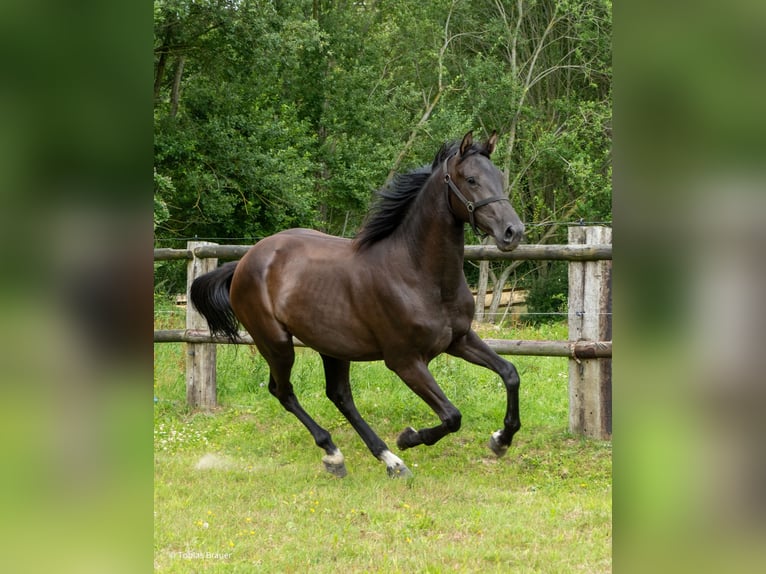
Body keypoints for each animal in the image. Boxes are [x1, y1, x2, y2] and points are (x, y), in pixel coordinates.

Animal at [190, 131, 525, 478]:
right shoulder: (405, 361)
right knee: (283, 392)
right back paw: (338, 454)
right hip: (276, 343)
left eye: (499, 177)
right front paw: (408, 437)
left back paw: (387, 459)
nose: (513, 232)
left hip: (332, 346)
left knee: (339, 396)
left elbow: (510, 373)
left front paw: (501, 440)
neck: (418, 274)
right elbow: (452, 415)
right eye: (471, 180)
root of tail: (244, 261)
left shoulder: (459, 339)